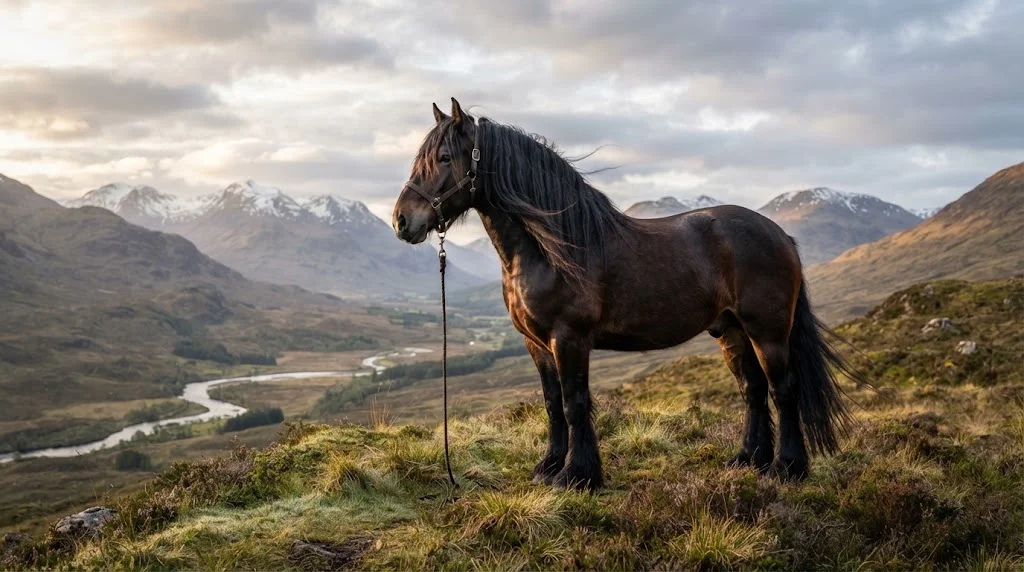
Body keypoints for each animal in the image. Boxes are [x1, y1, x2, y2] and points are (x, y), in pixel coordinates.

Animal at [392, 98, 854, 490]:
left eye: (445, 158)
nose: (401, 221)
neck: (550, 248)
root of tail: (781, 235)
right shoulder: (536, 343)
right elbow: (552, 403)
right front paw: (550, 467)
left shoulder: (569, 337)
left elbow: (575, 403)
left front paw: (578, 476)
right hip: (732, 332)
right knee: (753, 391)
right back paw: (748, 460)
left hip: (767, 332)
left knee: (783, 389)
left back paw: (788, 468)